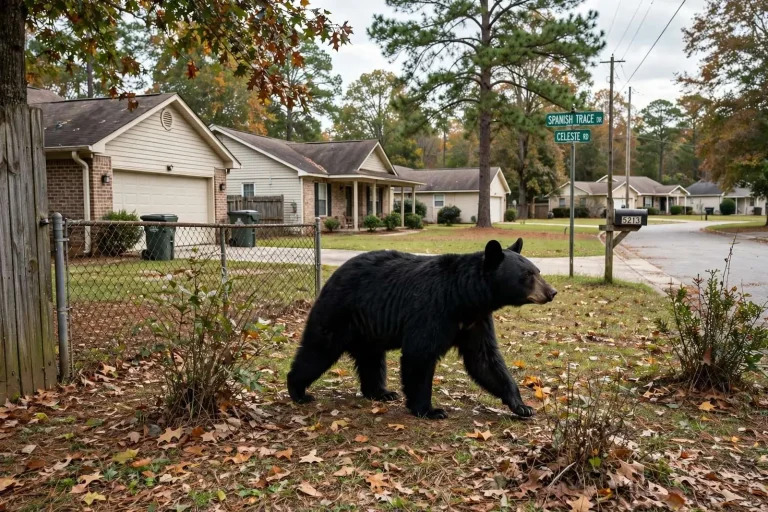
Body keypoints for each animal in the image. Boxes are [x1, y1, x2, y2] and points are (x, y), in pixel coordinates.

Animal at [287, 238, 557, 419]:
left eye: (537, 271)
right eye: (528, 275)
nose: (551, 292)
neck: (464, 297)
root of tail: (333, 275)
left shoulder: (476, 320)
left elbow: (485, 359)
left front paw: (522, 405)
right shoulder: (432, 310)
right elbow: (420, 354)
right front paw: (429, 409)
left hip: (368, 329)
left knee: (371, 359)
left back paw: (381, 392)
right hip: (339, 311)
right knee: (318, 349)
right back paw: (298, 390)